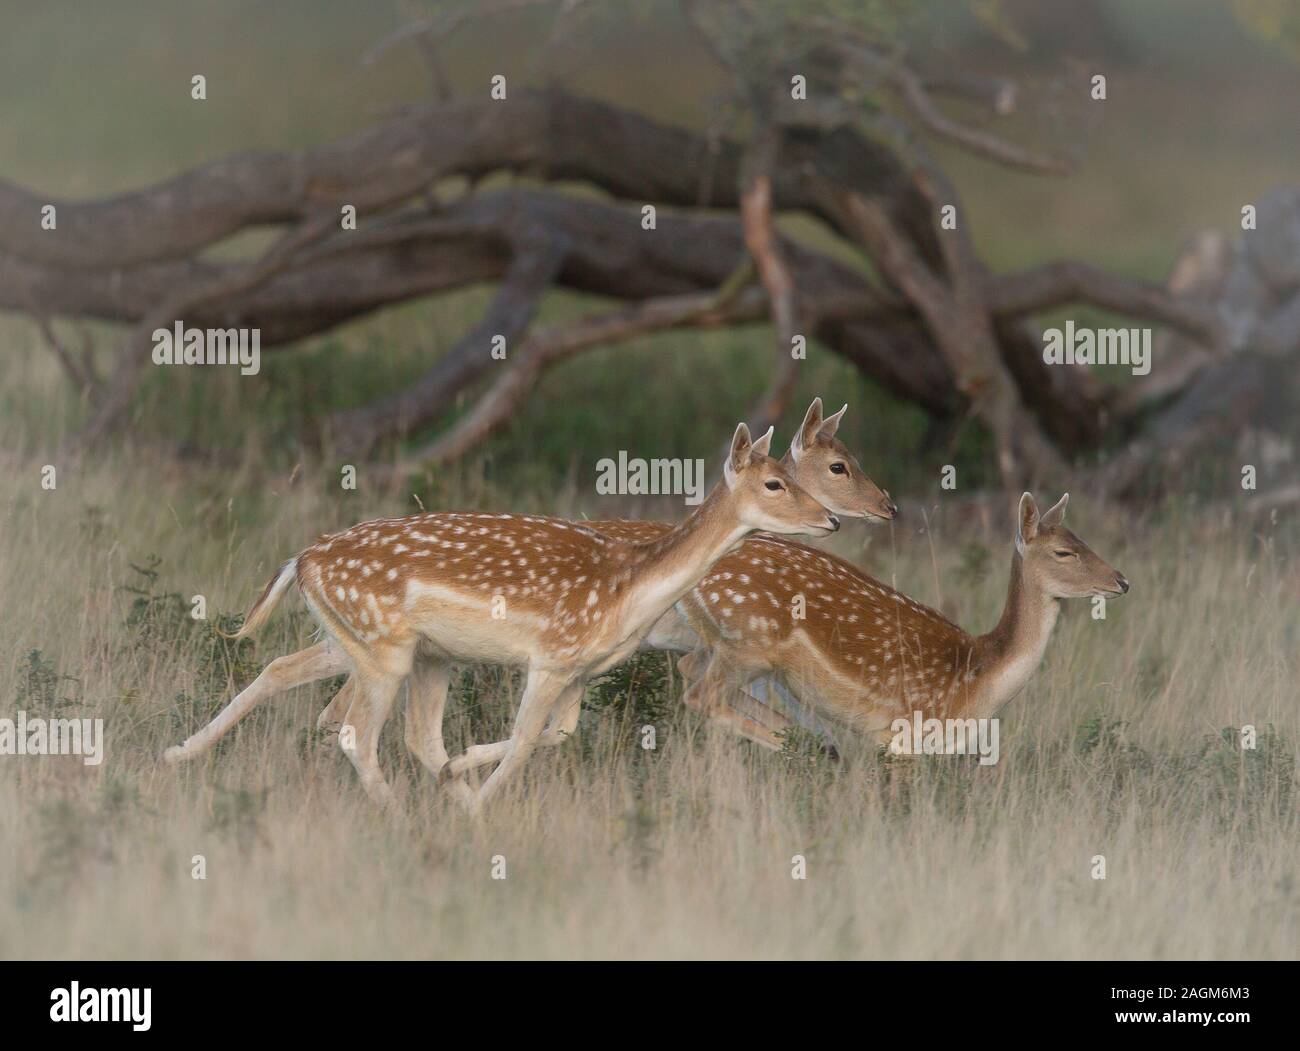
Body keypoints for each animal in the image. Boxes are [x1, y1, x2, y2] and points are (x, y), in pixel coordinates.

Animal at [164, 422, 842, 811]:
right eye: (775, 483)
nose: (832, 519)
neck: (629, 593)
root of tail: (301, 558)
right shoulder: (550, 657)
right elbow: (520, 744)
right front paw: (486, 807)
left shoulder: (580, 670)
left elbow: (555, 735)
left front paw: (466, 782)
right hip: (383, 648)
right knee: (355, 731)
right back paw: (400, 814)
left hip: (402, 650)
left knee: (306, 681)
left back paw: (179, 754)